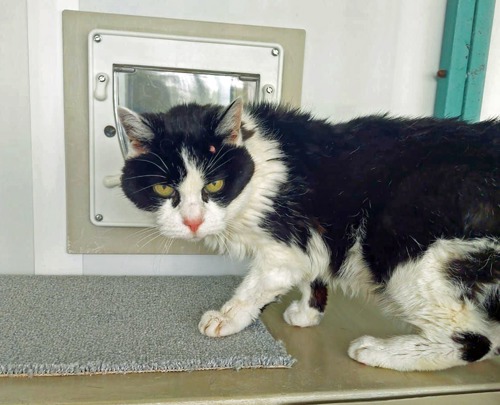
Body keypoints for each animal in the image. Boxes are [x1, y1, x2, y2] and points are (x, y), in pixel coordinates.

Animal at [118, 98, 500, 370]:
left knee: (476, 340)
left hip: (408, 247)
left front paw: (227, 318)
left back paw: (380, 351)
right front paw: (308, 312)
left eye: (214, 184)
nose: (193, 221)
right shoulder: (312, 237)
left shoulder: (285, 241)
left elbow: (260, 284)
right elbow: (311, 270)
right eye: (164, 188)